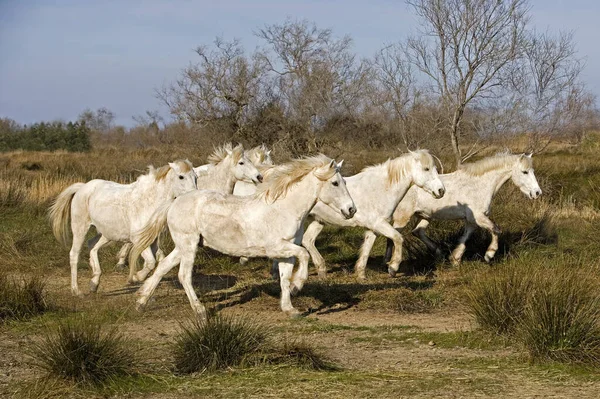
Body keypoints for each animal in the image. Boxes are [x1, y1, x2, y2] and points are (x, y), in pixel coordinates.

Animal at [49, 160, 198, 296]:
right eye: (181, 177)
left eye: (196, 176)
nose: (194, 197)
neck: (148, 202)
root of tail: (83, 187)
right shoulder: (138, 240)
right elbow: (150, 262)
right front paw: (136, 278)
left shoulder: (153, 240)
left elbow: (156, 261)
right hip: (80, 228)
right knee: (74, 254)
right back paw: (76, 291)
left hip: (106, 234)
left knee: (92, 245)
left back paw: (94, 282)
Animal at [130, 155, 356, 320]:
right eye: (335, 183)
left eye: (344, 182)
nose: (351, 210)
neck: (283, 208)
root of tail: (175, 202)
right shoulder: (276, 248)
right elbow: (304, 256)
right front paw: (297, 286)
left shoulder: (286, 252)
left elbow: (284, 278)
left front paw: (290, 308)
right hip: (189, 246)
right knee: (183, 276)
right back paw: (200, 311)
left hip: (184, 247)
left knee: (162, 267)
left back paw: (140, 302)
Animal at [300, 151, 446, 282]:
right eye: (426, 169)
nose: (441, 191)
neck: (381, 189)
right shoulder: (378, 223)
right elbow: (398, 238)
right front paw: (393, 268)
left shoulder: (372, 228)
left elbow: (367, 249)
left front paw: (361, 275)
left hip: (318, 221)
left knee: (308, 240)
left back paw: (322, 272)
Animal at [384, 153, 544, 266]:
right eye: (524, 172)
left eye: (532, 171)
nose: (537, 193)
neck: (479, 185)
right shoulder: (479, 217)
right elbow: (496, 230)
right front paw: (489, 254)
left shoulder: (472, 220)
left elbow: (466, 237)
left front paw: (455, 258)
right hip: (403, 216)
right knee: (393, 234)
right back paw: (390, 263)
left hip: (425, 215)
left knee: (417, 232)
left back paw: (439, 253)